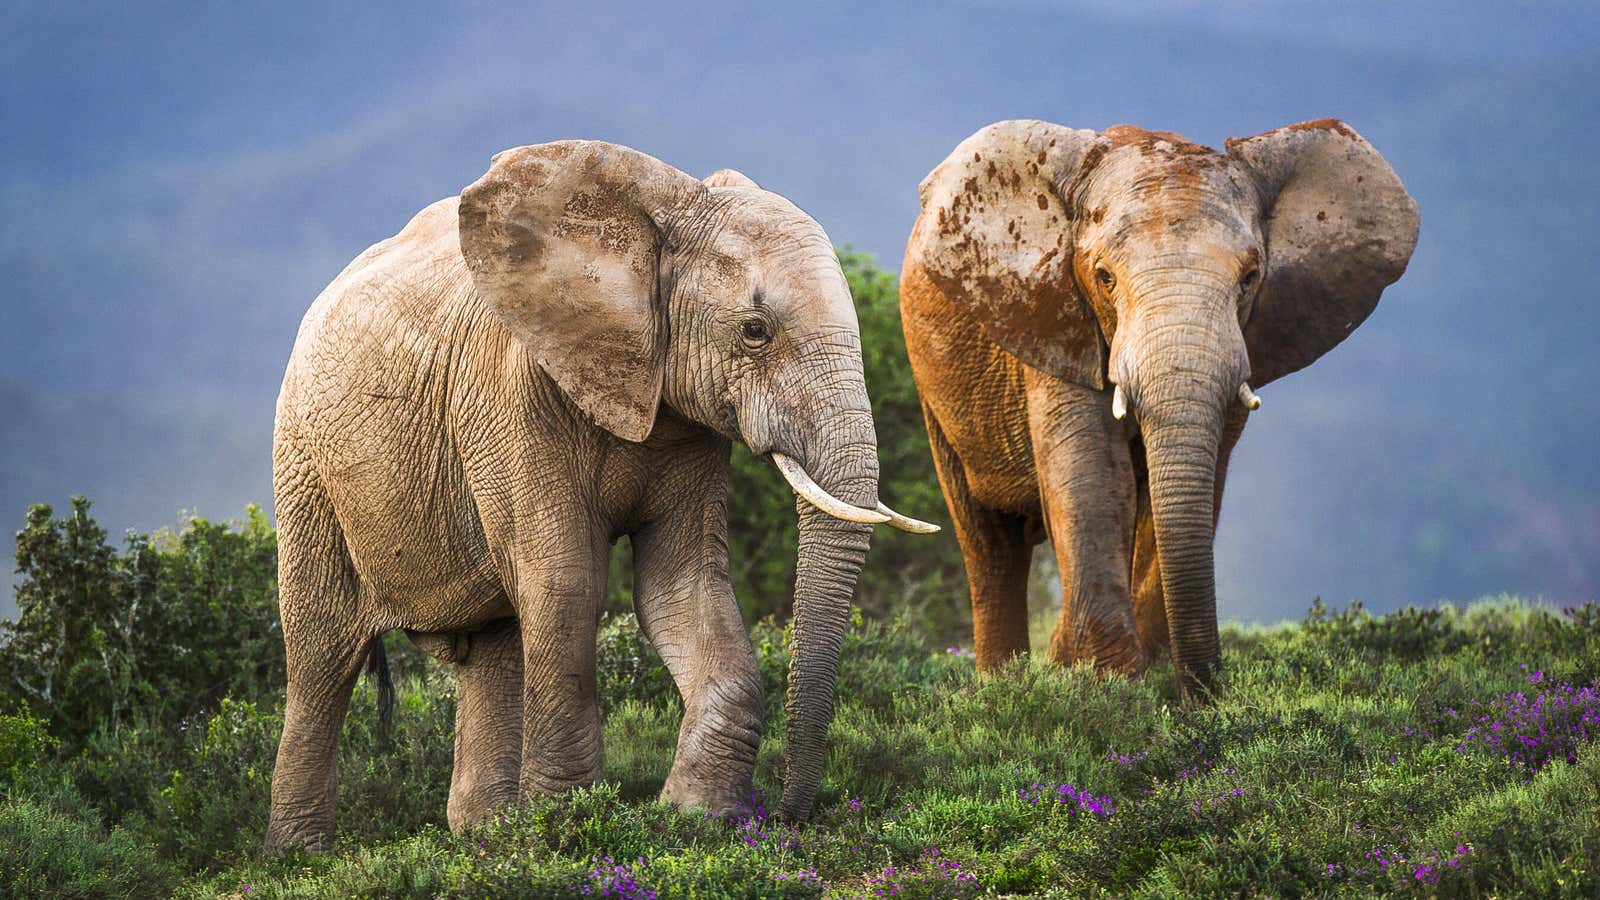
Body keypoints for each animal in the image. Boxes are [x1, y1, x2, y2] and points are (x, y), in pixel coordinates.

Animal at [264, 140, 934, 845]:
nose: (786, 817)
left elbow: (683, 583)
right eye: (755, 331)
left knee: (492, 644)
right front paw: (566, 826)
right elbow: (567, 584)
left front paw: (698, 819)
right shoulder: (515, 396)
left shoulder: (686, 419)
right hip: (304, 463)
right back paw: (301, 855)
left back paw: (485, 838)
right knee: (322, 655)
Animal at [908, 119, 1420, 695]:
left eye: (1250, 277)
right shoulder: (1057, 322)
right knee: (991, 544)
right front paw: (1107, 687)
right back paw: (1005, 687)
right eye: (1104, 277)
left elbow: (1184, 488)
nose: (1208, 693)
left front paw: (1143, 682)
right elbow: (1093, 478)